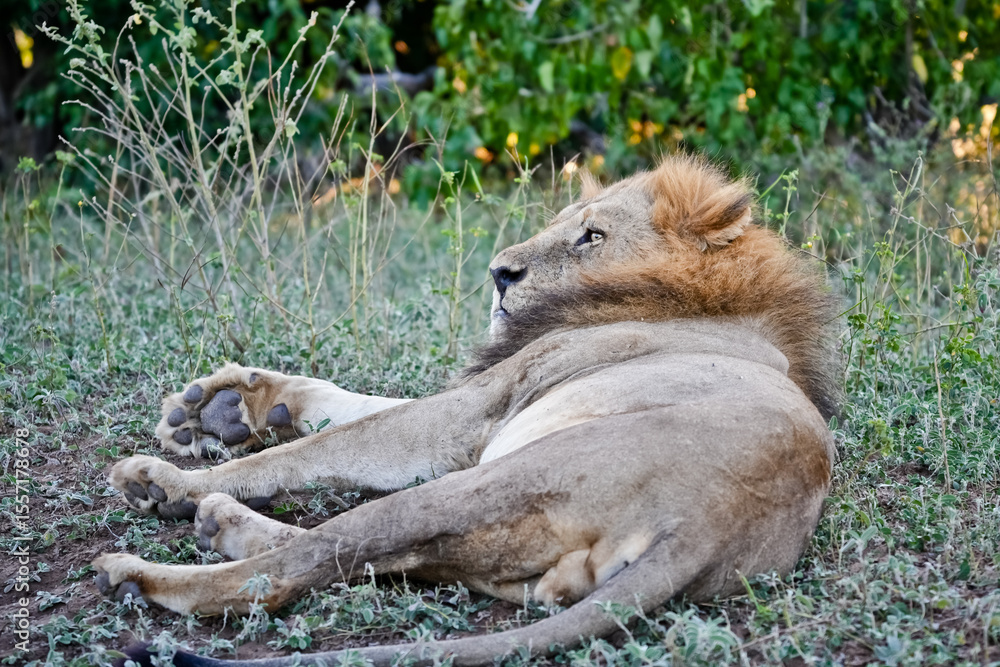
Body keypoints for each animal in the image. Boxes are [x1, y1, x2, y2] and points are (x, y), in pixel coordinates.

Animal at [94, 156, 839, 666]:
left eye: (591, 236)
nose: (499, 274)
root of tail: (705, 523)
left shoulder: (481, 407)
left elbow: (330, 443)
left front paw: (170, 477)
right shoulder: (480, 409)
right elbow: (348, 405)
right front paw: (222, 406)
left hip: (492, 479)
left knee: (294, 567)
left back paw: (143, 567)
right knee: (368, 557)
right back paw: (221, 516)